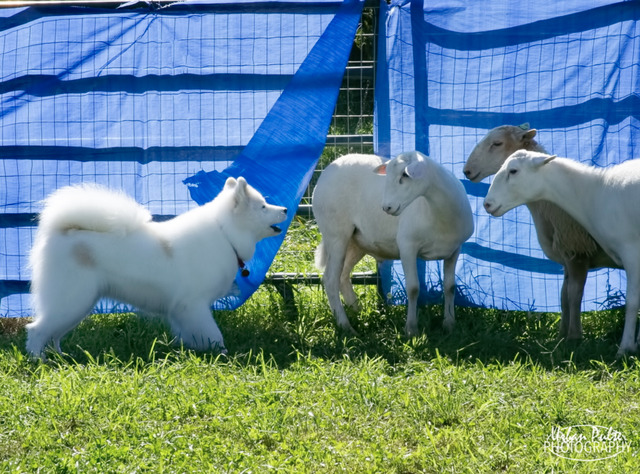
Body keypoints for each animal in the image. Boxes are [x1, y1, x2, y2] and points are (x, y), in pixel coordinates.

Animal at [25, 178, 284, 360]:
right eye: (263, 206)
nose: (283, 209)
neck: (226, 234)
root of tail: (64, 231)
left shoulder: (182, 312)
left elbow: (190, 335)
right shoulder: (194, 305)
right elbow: (213, 334)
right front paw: (224, 354)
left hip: (78, 305)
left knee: (54, 334)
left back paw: (60, 357)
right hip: (72, 301)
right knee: (36, 330)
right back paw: (39, 360)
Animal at [312, 152, 472, 336]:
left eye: (405, 175)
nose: (386, 207)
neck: (436, 212)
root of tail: (330, 167)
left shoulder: (454, 250)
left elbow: (450, 287)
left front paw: (450, 324)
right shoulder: (407, 245)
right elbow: (413, 288)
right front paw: (411, 329)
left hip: (356, 242)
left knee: (343, 276)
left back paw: (357, 310)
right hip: (336, 234)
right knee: (330, 279)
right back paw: (346, 326)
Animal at [462, 124, 616, 338]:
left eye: (497, 143)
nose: (467, 171)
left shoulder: (577, 251)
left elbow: (574, 295)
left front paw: (575, 336)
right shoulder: (566, 256)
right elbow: (563, 296)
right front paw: (561, 336)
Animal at [484, 152, 640, 356]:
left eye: (513, 171)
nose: (487, 204)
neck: (595, 193)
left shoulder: (631, 253)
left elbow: (632, 302)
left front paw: (625, 348)